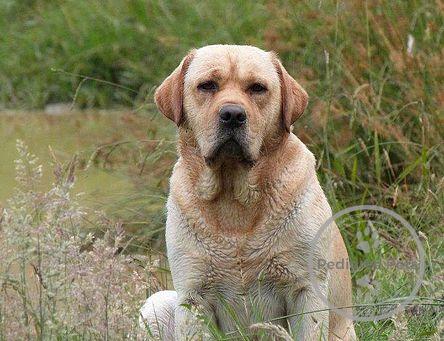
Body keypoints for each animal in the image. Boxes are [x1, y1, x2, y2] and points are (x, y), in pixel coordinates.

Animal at [140, 45, 356, 340]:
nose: (232, 114)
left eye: (257, 88)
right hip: (157, 304)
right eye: (207, 85)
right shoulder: (193, 297)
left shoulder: (306, 289)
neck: (235, 195)